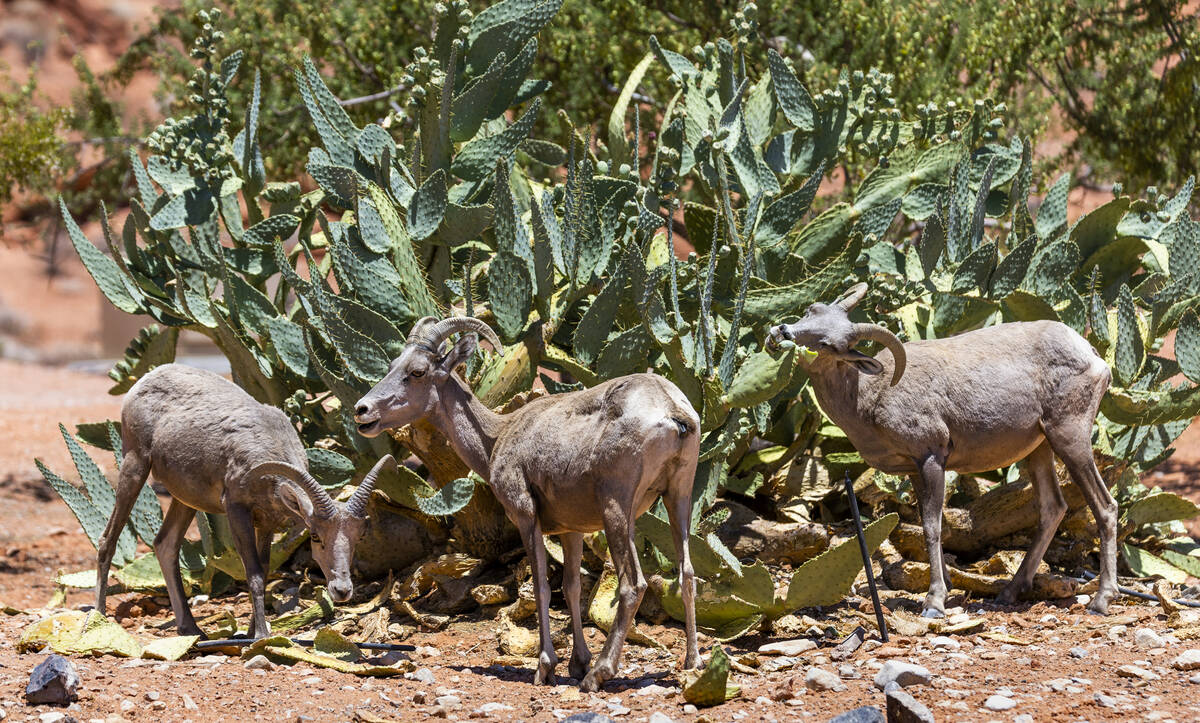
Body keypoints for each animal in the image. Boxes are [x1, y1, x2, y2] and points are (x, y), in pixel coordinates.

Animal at [99, 362, 388, 634]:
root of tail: (147, 379)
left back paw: (191, 628)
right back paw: (99, 618)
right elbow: (255, 573)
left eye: (358, 537)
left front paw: (252, 630)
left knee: (165, 544)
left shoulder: (267, 523)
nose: (342, 590)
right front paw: (260, 635)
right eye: (315, 536)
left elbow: (265, 568)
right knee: (107, 541)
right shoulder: (237, 510)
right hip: (135, 465)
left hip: (185, 498)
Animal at [350, 314, 700, 686]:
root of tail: (672, 411)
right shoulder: (571, 530)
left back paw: (600, 674)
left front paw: (546, 667)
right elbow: (571, 587)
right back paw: (691, 663)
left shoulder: (525, 515)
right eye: (392, 365)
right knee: (687, 574)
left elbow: (542, 587)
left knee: (633, 584)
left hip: (617, 509)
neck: (497, 437)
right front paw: (577, 663)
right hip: (679, 498)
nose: (363, 411)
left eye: (417, 371)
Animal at [768, 281, 1113, 612]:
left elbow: (933, 527)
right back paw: (1009, 593)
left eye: (829, 345)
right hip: (1039, 449)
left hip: (1069, 437)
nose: (781, 333)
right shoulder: (913, 469)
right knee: (1052, 509)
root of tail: (1092, 356)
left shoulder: (932, 458)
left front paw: (934, 601)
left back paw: (1101, 601)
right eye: (811, 311)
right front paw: (945, 586)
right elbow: (925, 524)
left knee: (1105, 507)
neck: (870, 397)